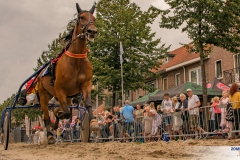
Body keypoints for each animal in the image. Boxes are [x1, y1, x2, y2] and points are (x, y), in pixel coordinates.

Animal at [37, 3, 98, 144]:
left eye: (94, 18)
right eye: (81, 17)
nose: (92, 31)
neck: (76, 61)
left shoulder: (86, 84)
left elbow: (87, 103)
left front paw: (93, 123)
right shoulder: (60, 89)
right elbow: (64, 113)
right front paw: (57, 123)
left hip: (66, 97)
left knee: (56, 109)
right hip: (43, 94)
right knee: (46, 115)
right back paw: (49, 135)